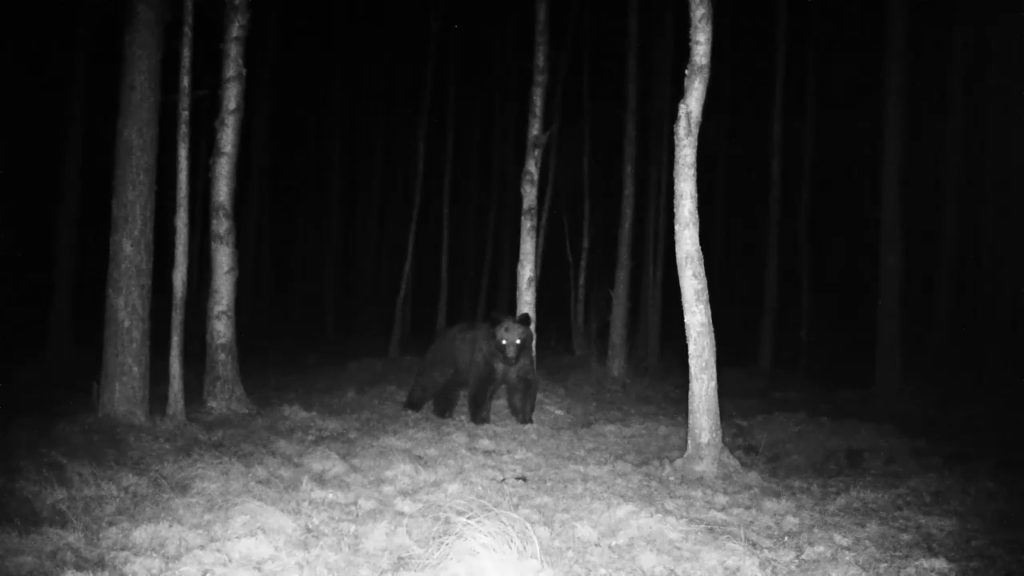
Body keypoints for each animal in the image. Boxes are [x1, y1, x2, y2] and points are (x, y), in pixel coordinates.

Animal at [403, 311, 540, 424]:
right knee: (429, 378)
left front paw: (525, 418)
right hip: (446, 357)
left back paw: (442, 412)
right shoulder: (486, 359)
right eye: (503, 341)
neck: (502, 360)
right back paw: (411, 405)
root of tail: (443, 333)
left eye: (518, 340)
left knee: (450, 385)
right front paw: (482, 419)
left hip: (460, 368)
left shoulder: (522, 362)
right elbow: (482, 386)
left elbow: (523, 387)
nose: (511, 358)